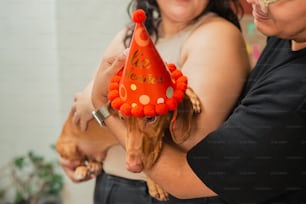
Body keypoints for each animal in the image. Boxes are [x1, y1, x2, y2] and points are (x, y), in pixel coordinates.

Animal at [55, 86, 201, 201]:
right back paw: (81, 169)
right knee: (79, 160)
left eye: (151, 118)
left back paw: (94, 165)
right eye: (122, 118)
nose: (132, 167)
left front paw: (191, 96)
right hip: (68, 147)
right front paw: (155, 185)